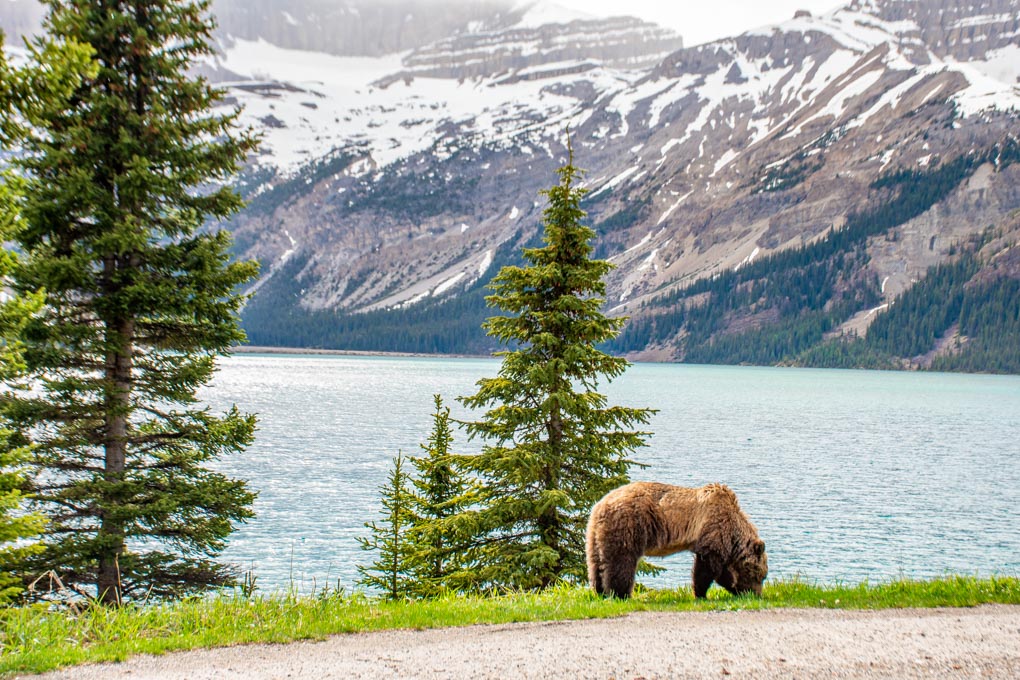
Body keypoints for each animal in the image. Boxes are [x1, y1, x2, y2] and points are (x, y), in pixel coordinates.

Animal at [586, 481, 767, 599]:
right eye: (762, 576)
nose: (757, 594)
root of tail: (600, 506)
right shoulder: (713, 529)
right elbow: (708, 567)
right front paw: (701, 594)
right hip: (629, 526)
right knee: (622, 562)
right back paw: (621, 594)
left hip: (595, 535)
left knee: (596, 563)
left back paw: (599, 591)